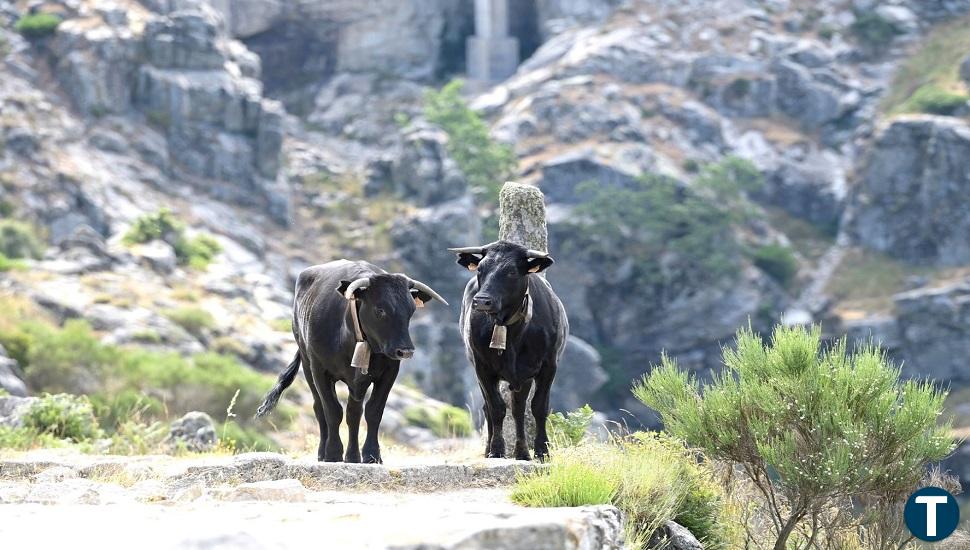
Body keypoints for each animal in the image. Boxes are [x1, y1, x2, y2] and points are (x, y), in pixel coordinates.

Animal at [251, 260, 444, 464]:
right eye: (380, 310)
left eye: (411, 311)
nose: (405, 350)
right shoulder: (319, 369)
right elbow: (332, 410)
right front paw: (333, 453)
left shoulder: (388, 372)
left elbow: (371, 412)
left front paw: (369, 455)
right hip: (306, 363)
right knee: (319, 407)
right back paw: (322, 452)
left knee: (353, 412)